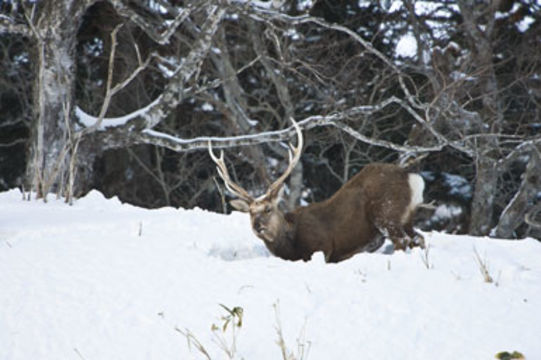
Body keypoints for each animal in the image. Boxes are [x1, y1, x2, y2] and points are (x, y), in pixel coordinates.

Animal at [209, 119, 424, 262]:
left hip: (386, 214)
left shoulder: (322, 247)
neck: (289, 246)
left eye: (268, 208)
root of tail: (412, 178)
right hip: (406, 218)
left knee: (404, 241)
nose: (257, 226)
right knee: (419, 238)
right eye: (250, 212)